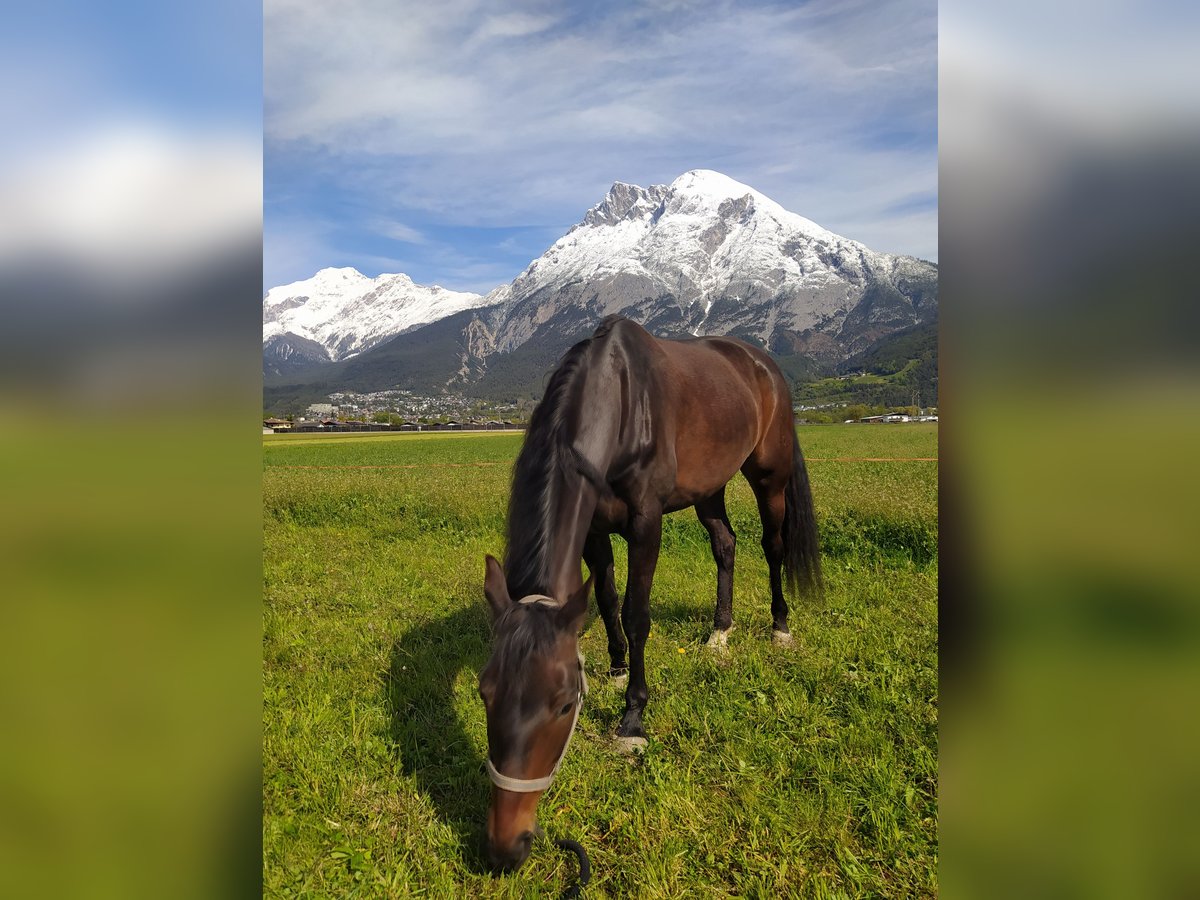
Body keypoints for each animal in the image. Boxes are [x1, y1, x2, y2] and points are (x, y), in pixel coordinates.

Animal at [477, 319, 825, 873]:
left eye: (563, 705)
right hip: (709, 487)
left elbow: (637, 614)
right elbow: (605, 600)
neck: (619, 401)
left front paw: (633, 717)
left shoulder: (646, 525)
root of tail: (761, 363)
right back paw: (719, 632)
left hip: (769, 476)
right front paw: (618, 668)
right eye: (485, 693)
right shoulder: (595, 529)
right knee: (725, 544)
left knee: (773, 547)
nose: (506, 846)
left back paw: (779, 627)